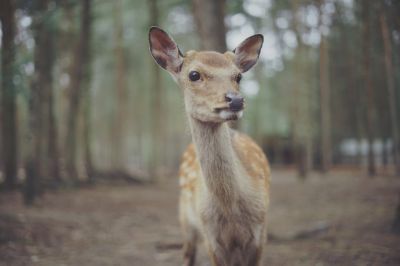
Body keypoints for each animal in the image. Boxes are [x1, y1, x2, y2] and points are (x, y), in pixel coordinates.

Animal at [148, 26, 270, 264]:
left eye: (238, 76)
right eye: (194, 74)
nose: (236, 100)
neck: (231, 209)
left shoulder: (261, 231)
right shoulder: (211, 238)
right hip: (185, 218)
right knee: (188, 254)